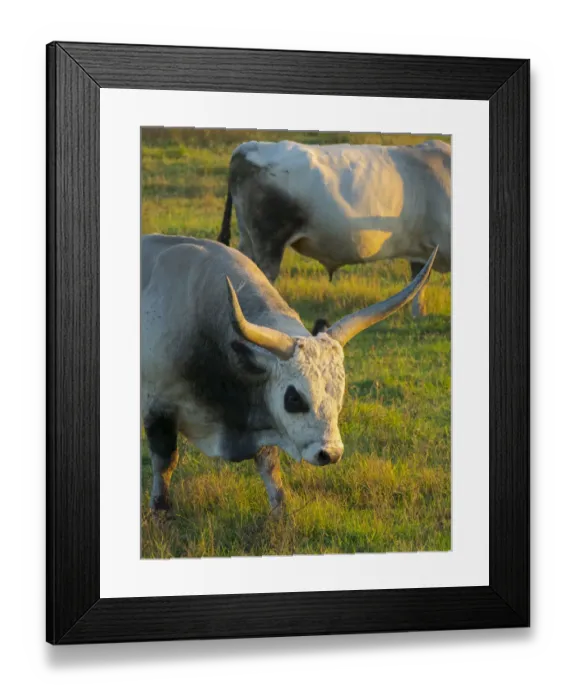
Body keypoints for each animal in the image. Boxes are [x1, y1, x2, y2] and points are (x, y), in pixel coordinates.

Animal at [141, 234, 437, 514]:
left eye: (340, 394)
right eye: (294, 398)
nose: (330, 454)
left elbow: (269, 464)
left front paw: (281, 511)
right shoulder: (158, 408)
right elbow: (165, 463)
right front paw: (161, 511)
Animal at [218, 139, 451, 318]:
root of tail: (250, 147)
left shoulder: (421, 252)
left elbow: (419, 283)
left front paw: (418, 317)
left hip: (248, 238)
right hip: (270, 242)